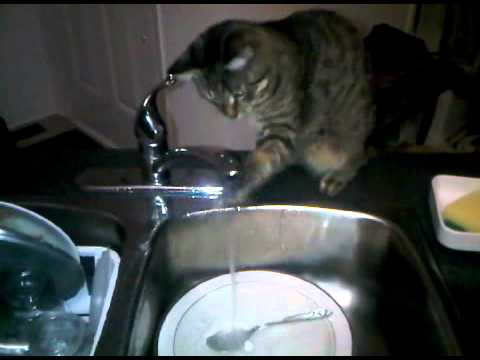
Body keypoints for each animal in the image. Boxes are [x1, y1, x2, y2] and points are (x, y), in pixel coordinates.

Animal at [168, 9, 376, 202]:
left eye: (238, 94)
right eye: (212, 98)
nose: (231, 115)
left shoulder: (280, 127)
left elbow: (258, 161)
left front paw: (236, 189)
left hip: (347, 128)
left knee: (358, 155)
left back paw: (340, 174)